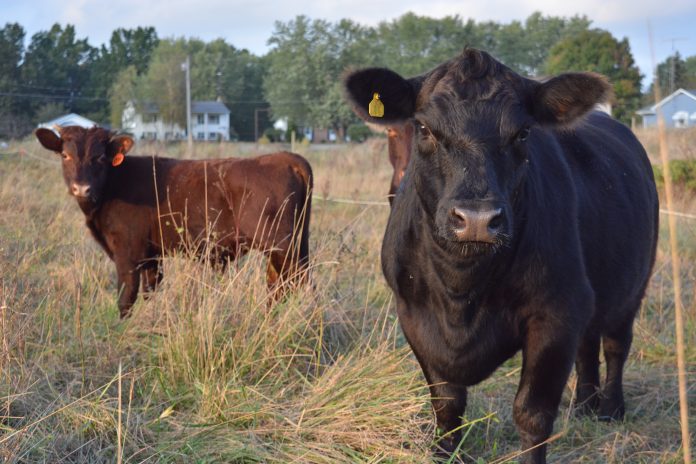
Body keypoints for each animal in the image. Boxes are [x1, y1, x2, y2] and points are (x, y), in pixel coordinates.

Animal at [35, 126, 312, 318]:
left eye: (101, 158)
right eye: (65, 155)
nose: (81, 188)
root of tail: (284, 157)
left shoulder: (127, 253)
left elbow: (126, 298)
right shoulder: (151, 256)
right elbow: (149, 292)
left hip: (280, 245)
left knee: (295, 282)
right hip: (292, 245)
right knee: (279, 284)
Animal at [344, 48, 658, 463]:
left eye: (523, 133)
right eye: (425, 128)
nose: (476, 220)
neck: (460, 291)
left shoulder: (555, 314)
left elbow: (532, 414)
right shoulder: (412, 315)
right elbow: (446, 403)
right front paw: (445, 453)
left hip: (633, 285)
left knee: (616, 344)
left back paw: (610, 408)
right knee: (588, 345)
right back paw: (584, 405)